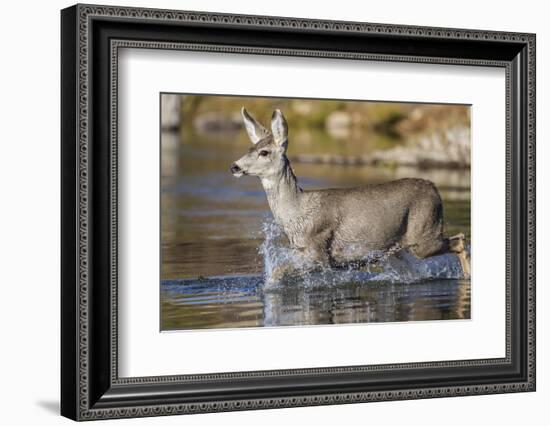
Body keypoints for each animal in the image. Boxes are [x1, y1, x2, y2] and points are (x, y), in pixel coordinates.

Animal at [231, 107, 472, 280]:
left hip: (423, 235)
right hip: (394, 251)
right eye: (249, 149)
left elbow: (278, 271)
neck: (297, 212)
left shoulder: (318, 252)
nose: (234, 166)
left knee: (460, 240)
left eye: (264, 152)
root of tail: (434, 187)